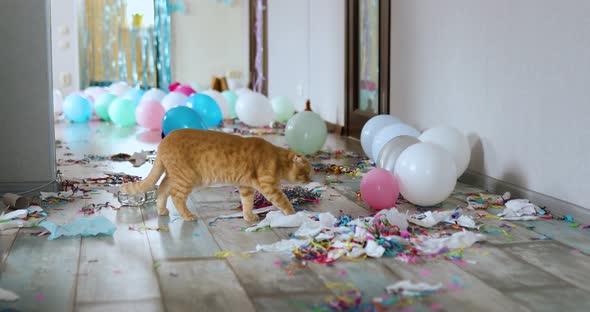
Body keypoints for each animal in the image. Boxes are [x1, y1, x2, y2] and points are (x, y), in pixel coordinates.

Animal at [120, 129, 314, 222]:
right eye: (306, 172)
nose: (311, 180)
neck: (277, 158)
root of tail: (163, 142)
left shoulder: (246, 188)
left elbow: (247, 204)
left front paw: (248, 216)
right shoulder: (269, 187)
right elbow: (284, 201)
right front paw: (293, 215)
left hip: (173, 175)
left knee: (161, 189)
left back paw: (161, 210)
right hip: (186, 178)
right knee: (176, 196)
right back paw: (187, 215)